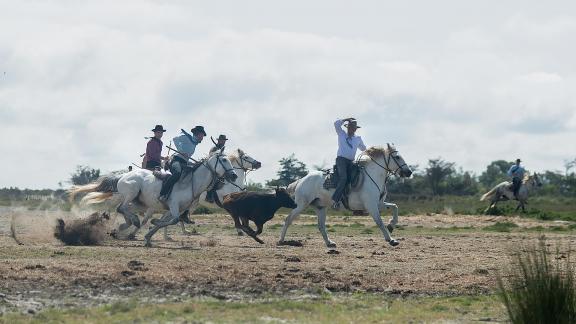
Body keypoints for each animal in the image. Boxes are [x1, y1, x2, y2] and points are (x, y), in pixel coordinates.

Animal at [69, 152, 236, 246]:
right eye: (224, 161)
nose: (234, 175)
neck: (190, 182)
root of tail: (122, 176)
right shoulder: (174, 206)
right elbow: (173, 220)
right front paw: (153, 225)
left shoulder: (173, 209)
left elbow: (167, 222)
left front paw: (149, 235)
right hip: (132, 192)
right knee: (121, 208)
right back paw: (130, 223)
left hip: (138, 202)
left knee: (122, 210)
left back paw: (122, 227)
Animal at [278, 144, 410, 248]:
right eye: (397, 157)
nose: (409, 172)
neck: (372, 176)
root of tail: (301, 180)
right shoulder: (371, 206)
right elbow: (379, 222)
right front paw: (391, 239)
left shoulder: (379, 204)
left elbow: (395, 207)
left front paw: (391, 225)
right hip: (301, 205)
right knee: (288, 219)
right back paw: (281, 240)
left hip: (320, 207)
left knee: (321, 226)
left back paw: (330, 243)